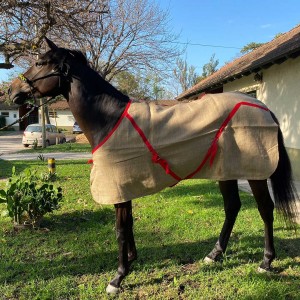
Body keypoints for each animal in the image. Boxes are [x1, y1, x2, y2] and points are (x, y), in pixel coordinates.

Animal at [8, 37, 298, 292]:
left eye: (41, 62)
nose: (12, 91)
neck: (109, 119)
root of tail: (263, 108)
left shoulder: (119, 189)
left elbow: (120, 230)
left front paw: (118, 278)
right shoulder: (124, 189)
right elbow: (128, 226)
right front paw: (130, 262)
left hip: (255, 173)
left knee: (265, 209)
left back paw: (266, 262)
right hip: (226, 170)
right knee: (232, 207)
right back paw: (214, 255)